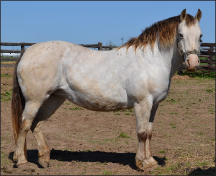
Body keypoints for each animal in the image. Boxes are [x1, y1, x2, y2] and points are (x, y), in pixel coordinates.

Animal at [10, 8, 202, 170]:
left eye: (200, 36)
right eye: (180, 35)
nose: (192, 63)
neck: (149, 60)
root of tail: (27, 52)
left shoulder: (154, 105)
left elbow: (148, 133)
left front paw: (150, 161)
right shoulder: (142, 103)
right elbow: (141, 133)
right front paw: (142, 163)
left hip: (54, 98)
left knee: (37, 124)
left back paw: (43, 158)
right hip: (35, 100)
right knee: (25, 124)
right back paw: (22, 161)